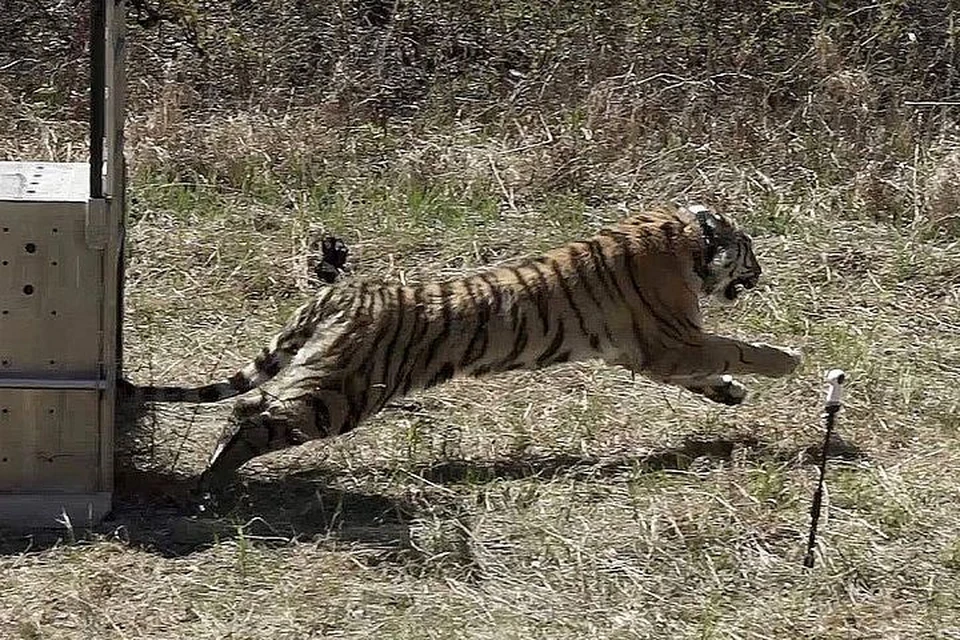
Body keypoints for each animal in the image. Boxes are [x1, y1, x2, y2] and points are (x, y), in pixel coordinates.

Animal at [125, 202, 804, 488]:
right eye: (749, 248)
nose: (762, 270)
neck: (686, 241)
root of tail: (346, 292)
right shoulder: (671, 339)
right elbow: (735, 346)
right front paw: (787, 361)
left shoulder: (651, 351)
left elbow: (709, 370)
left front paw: (730, 394)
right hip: (342, 394)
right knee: (252, 415)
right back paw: (212, 483)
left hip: (330, 382)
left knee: (249, 406)